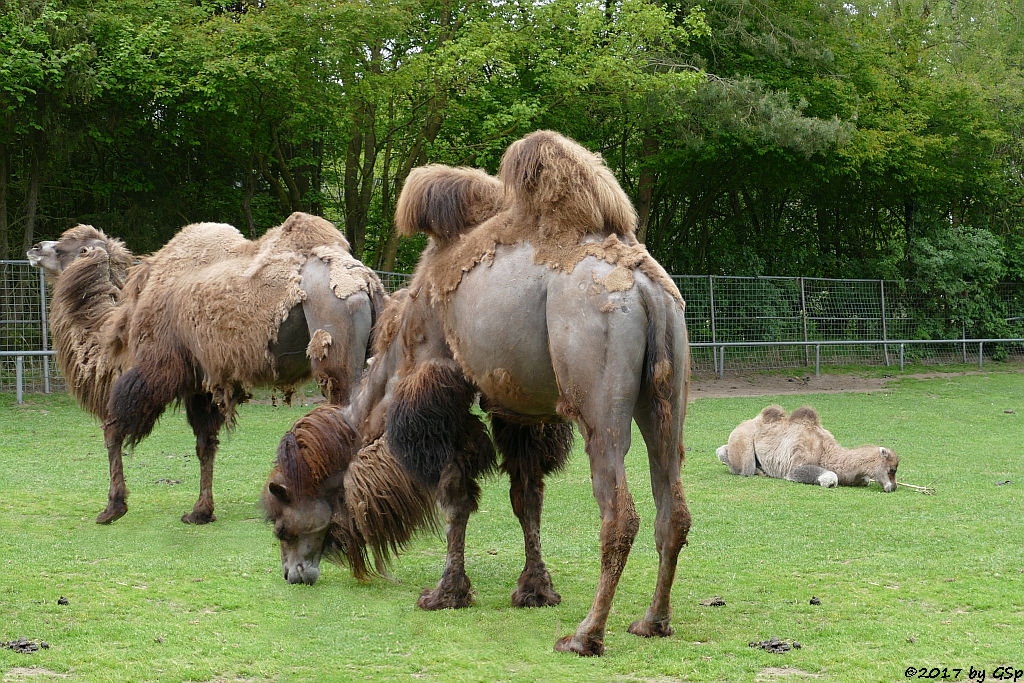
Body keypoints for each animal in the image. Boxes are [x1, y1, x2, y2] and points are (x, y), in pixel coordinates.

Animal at [29, 211, 387, 524]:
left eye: (68, 247)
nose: (35, 248)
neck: (120, 329)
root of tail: (366, 284)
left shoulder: (155, 369)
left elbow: (114, 428)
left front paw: (113, 508)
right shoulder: (200, 384)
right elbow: (205, 445)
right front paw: (200, 512)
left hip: (335, 353)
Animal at [264, 129, 692, 655]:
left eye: (280, 518)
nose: (294, 574)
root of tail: (642, 287)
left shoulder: (437, 385)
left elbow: (455, 496)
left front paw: (445, 593)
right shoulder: (520, 411)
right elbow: (526, 497)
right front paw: (534, 590)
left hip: (598, 397)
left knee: (619, 512)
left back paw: (585, 635)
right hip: (666, 393)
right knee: (672, 505)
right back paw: (653, 621)